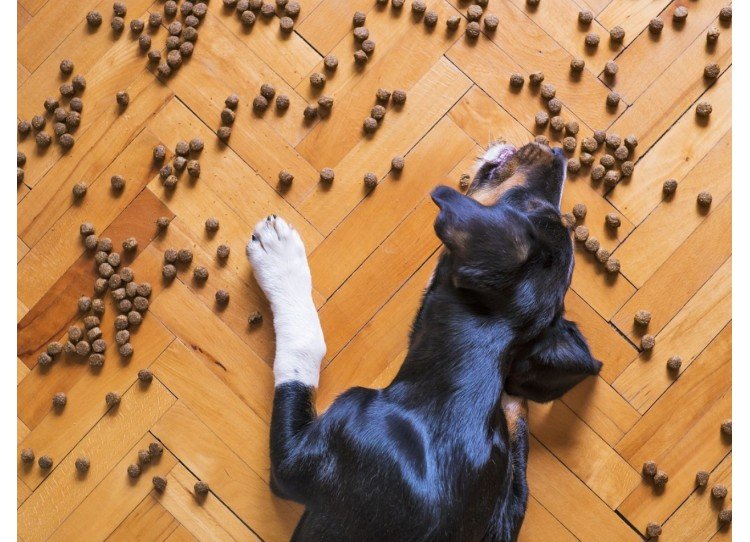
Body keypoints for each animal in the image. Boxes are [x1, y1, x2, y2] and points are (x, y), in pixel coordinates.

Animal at [248, 142, 604, 540]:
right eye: (543, 209)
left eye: (528, 206)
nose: (556, 151)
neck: (452, 392)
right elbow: (516, 449)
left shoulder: (294, 463)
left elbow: (304, 349)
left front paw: (279, 257)